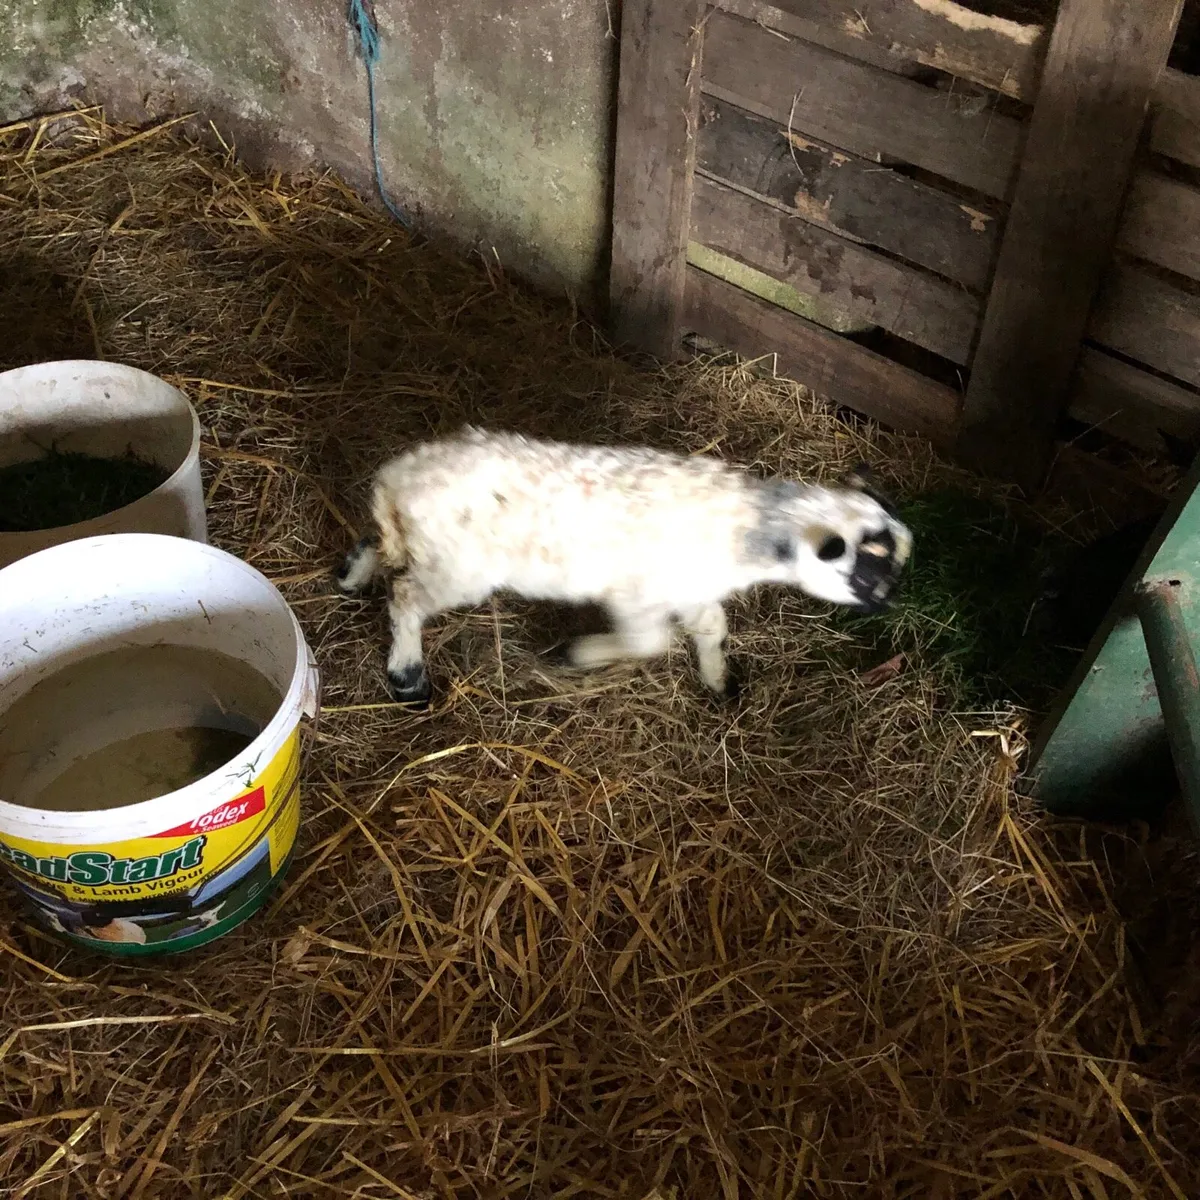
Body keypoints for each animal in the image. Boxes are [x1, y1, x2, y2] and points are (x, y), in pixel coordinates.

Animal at [335, 427, 913, 708]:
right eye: (866, 572)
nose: (891, 602)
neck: (744, 531)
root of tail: (396, 480)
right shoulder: (638, 595)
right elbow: (649, 643)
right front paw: (577, 653)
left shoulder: (691, 587)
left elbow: (712, 627)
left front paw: (720, 682)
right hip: (459, 568)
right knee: (406, 597)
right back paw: (408, 677)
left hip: (423, 546)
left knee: (379, 547)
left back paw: (349, 575)